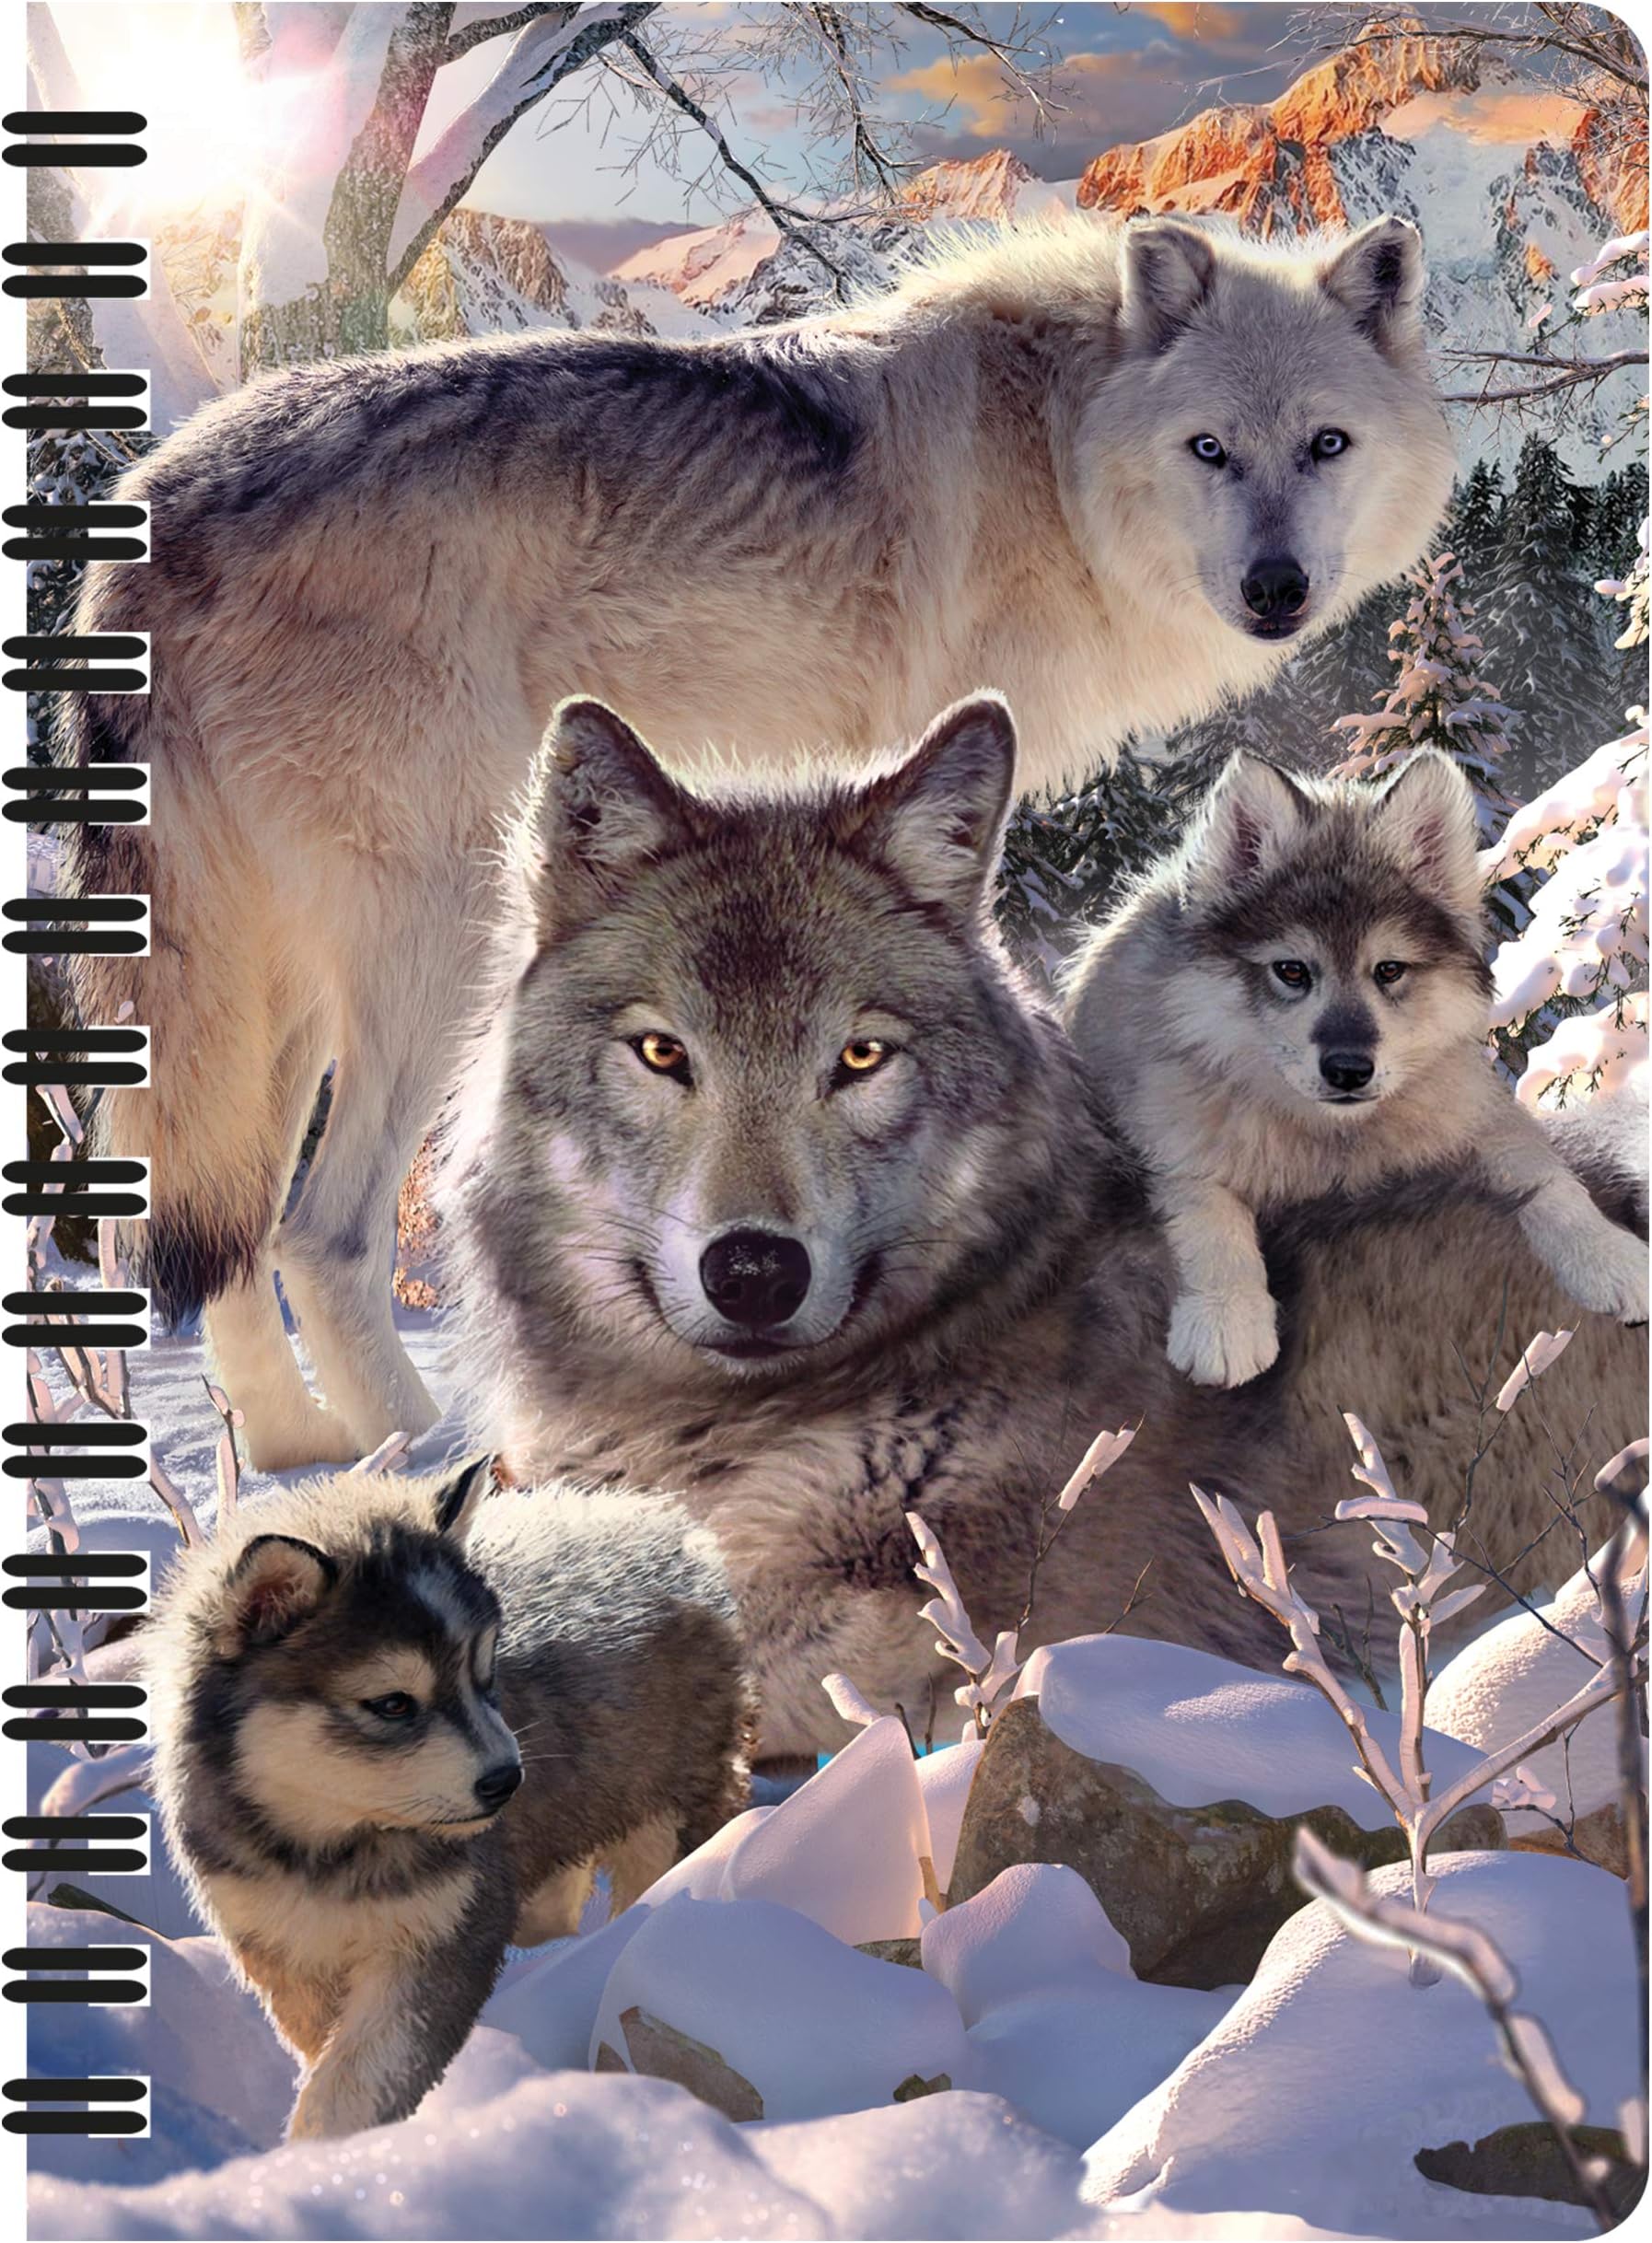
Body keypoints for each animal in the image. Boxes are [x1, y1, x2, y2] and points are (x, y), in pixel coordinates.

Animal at [60, 210, 1456, 1469]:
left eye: (1325, 444)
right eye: (1209, 449)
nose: (1277, 590)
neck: (1059, 451)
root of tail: (152, 506)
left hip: (266, 991)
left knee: (223, 1231)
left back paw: (291, 1454)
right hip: (434, 947)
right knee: (320, 1230)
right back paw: (431, 1457)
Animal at [145, 1457, 751, 2139]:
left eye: (485, 1674)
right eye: (392, 1703)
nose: (508, 1781)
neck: (330, 1844)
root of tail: (658, 1520)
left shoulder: (443, 1937)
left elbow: (362, 2074)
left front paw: (328, 2148)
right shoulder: (282, 1947)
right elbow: (323, 2050)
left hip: (669, 1806)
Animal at [1064, 749, 1649, 1387]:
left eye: (1389, 970)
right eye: (1292, 971)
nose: (1349, 1069)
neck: (1335, 1142)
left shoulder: (1478, 1117)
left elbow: (1552, 1184)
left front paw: (1613, 1257)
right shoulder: (1171, 1141)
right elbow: (1206, 1211)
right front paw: (1225, 1317)